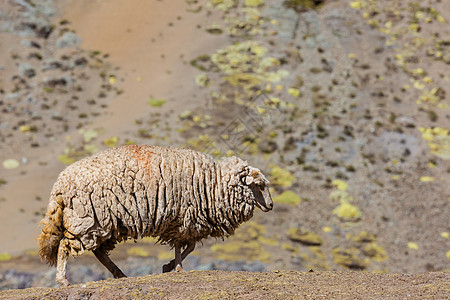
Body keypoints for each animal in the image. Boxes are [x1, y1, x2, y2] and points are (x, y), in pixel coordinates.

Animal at [37, 145, 270, 286]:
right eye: (259, 185)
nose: (271, 205)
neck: (213, 182)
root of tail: (60, 185)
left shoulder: (184, 222)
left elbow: (189, 246)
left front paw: (170, 266)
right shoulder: (184, 219)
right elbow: (184, 246)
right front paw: (176, 268)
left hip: (102, 223)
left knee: (99, 252)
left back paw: (119, 274)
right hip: (86, 219)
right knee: (65, 246)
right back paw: (63, 280)